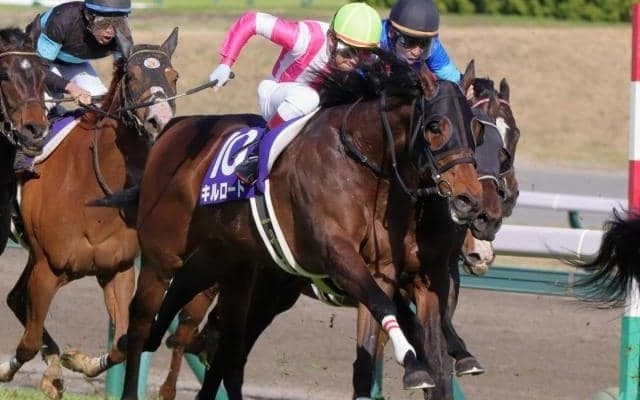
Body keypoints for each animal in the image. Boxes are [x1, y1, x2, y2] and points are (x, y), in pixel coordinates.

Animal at [0, 29, 179, 400]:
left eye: (174, 77)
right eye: (132, 76)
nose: (160, 121)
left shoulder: (116, 269)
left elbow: (122, 343)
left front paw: (76, 361)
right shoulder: (48, 268)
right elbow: (28, 343)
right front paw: (16, 371)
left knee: (14, 298)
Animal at [111, 53, 484, 400]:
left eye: (475, 129)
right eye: (435, 126)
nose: (471, 201)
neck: (359, 159)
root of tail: (173, 129)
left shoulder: (401, 273)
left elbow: (418, 348)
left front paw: (429, 363)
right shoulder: (339, 255)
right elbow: (387, 310)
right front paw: (412, 363)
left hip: (229, 260)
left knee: (214, 326)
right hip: (163, 254)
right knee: (143, 317)